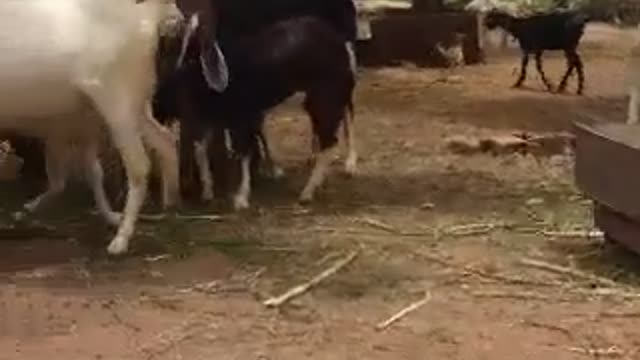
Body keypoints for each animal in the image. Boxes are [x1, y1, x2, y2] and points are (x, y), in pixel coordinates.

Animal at [0, 0, 180, 255]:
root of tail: (150, 14)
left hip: (116, 101)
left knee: (138, 166)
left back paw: (121, 239)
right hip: (135, 105)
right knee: (165, 141)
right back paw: (170, 205)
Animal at [153, 16, 358, 208]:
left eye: (193, 52)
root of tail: (341, 45)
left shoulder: (242, 118)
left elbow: (244, 152)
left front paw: (241, 198)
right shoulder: (222, 118)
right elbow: (201, 150)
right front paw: (208, 191)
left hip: (325, 100)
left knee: (330, 142)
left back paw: (307, 192)